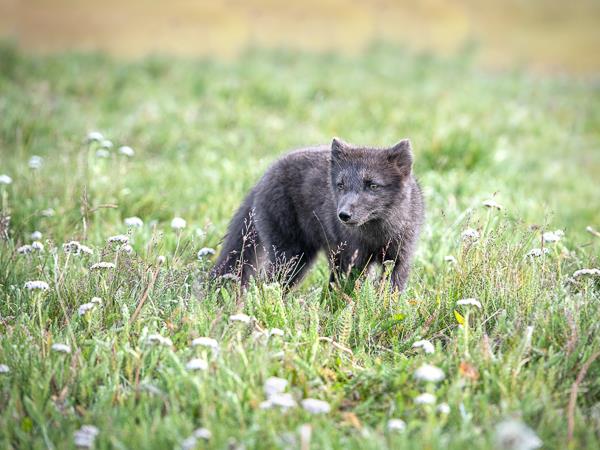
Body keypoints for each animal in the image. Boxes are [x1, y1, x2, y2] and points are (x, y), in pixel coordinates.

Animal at [211, 137, 422, 292]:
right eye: (340, 185)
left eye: (373, 185)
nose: (343, 215)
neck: (377, 235)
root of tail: (264, 176)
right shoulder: (353, 260)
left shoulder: (400, 259)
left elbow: (392, 290)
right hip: (292, 256)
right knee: (268, 283)